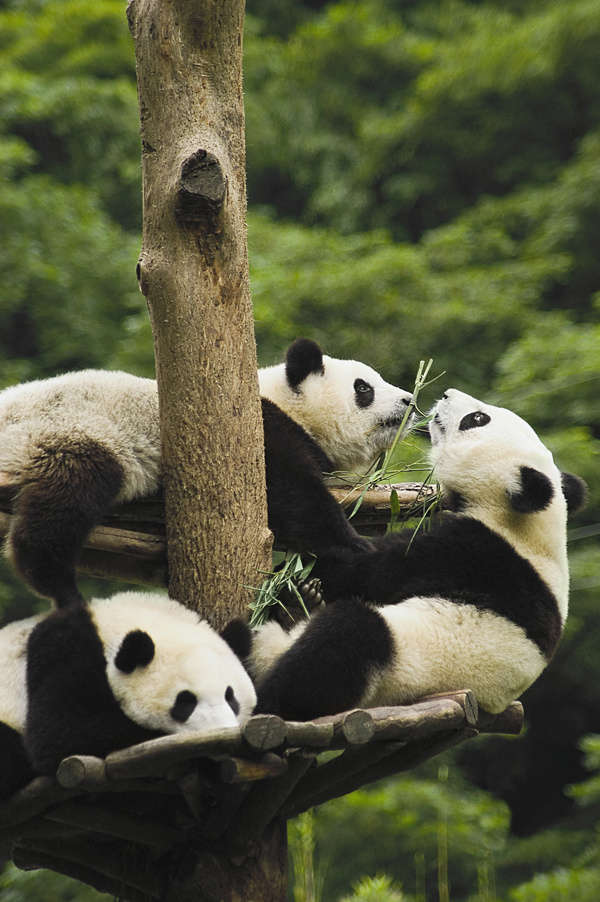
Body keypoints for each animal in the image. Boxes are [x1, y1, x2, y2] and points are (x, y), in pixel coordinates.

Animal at [0, 342, 410, 612]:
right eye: (363, 388)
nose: (409, 399)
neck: (283, 401)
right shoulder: (260, 433)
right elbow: (293, 496)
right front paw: (357, 546)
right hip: (66, 434)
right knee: (68, 500)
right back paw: (59, 587)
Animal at [251, 392, 588, 724]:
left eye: (478, 419)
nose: (447, 394)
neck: (529, 523)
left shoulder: (468, 551)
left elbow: (369, 570)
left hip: (394, 670)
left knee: (348, 637)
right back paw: (297, 606)